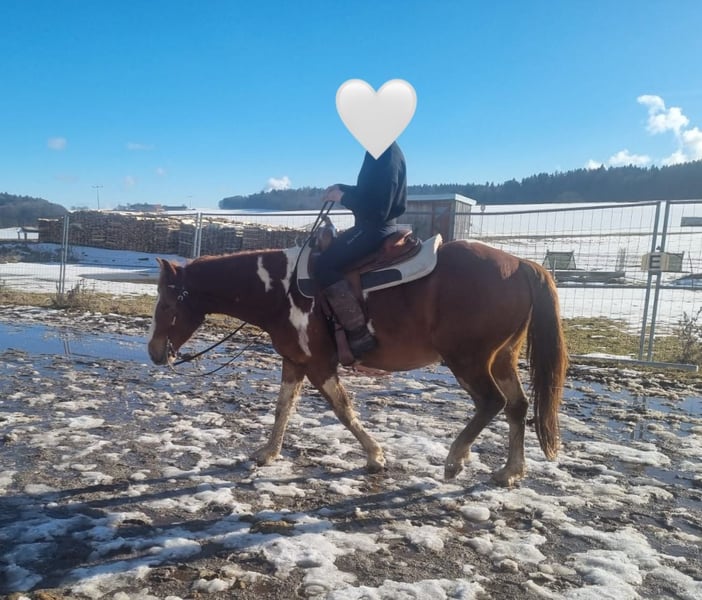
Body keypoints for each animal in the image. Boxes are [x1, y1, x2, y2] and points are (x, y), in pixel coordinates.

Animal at [147, 236, 567, 487]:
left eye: (166, 304)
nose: (153, 352)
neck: (280, 290)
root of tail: (521, 264)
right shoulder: (294, 362)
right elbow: (283, 408)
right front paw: (268, 453)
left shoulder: (319, 365)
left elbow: (343, 409)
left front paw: (376, 457)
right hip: (502, 358)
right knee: (517, 406)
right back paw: (510, 471)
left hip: (468, 359)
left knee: (492, 402)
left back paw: (455, 459)